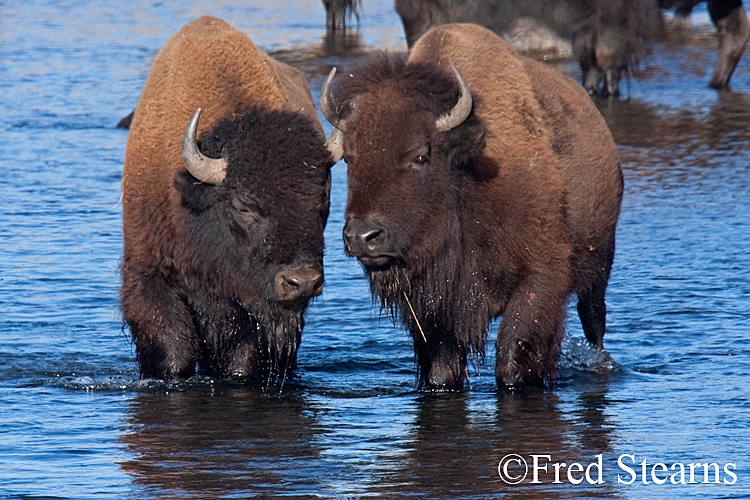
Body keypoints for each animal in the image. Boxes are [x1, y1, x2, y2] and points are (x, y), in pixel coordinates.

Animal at [121, 16, 333, 382]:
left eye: (321, 199)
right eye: (244, 206)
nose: (302, 282)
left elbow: (241, 359)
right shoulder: (147, 274)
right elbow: (172, 349)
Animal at [321, 23, 623, 390]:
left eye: (420, 156)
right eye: (349, 157)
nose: (363, 237)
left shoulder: (539, 279)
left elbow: (512, 358)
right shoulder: (434, 310)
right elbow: (442, 371)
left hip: (599, 266)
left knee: (594, 319)